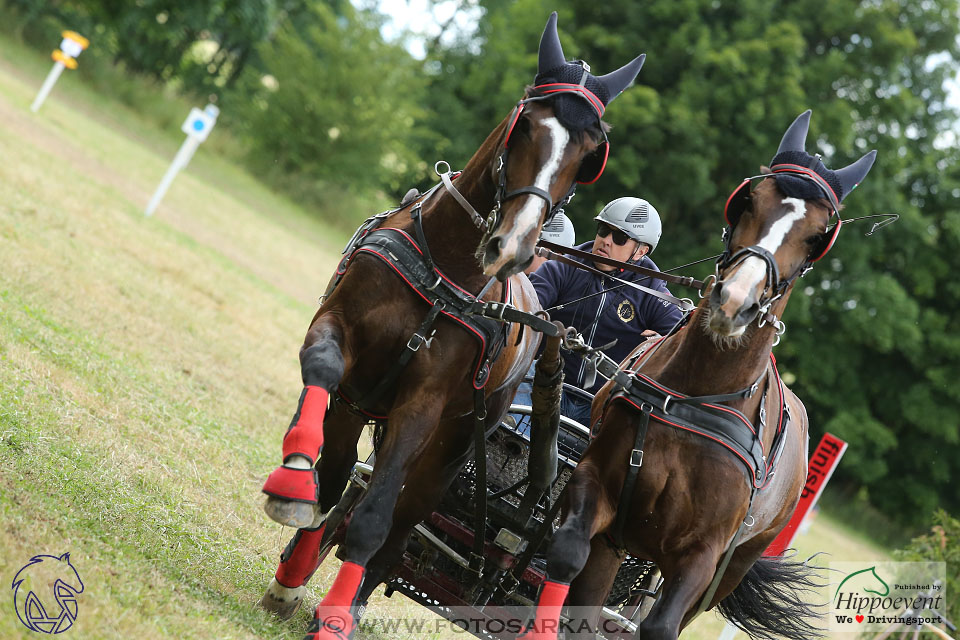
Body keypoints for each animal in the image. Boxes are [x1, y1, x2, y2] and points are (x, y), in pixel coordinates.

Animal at [253, 13, 644, 640]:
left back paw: (348, 600)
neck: (445, 267)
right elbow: (321, 369)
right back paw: (292, 575)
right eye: (526, 123)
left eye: (590, 154)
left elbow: (376, 517)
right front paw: (290, 483)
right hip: (358, 407)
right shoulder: (338, 333)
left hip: (451, 449)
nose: (513, 247)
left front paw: (335, 617)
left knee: (397, 522)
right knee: (337, 476)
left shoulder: (425, 405)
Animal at [520, 111, 872, 640]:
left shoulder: (702, 555)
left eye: (818, 237)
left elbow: (660, 626)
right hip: (622, 541)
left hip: (729, 571)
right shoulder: (598, 492)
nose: (735, 301)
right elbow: (565, 558)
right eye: (748, 200)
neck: (697, 399)